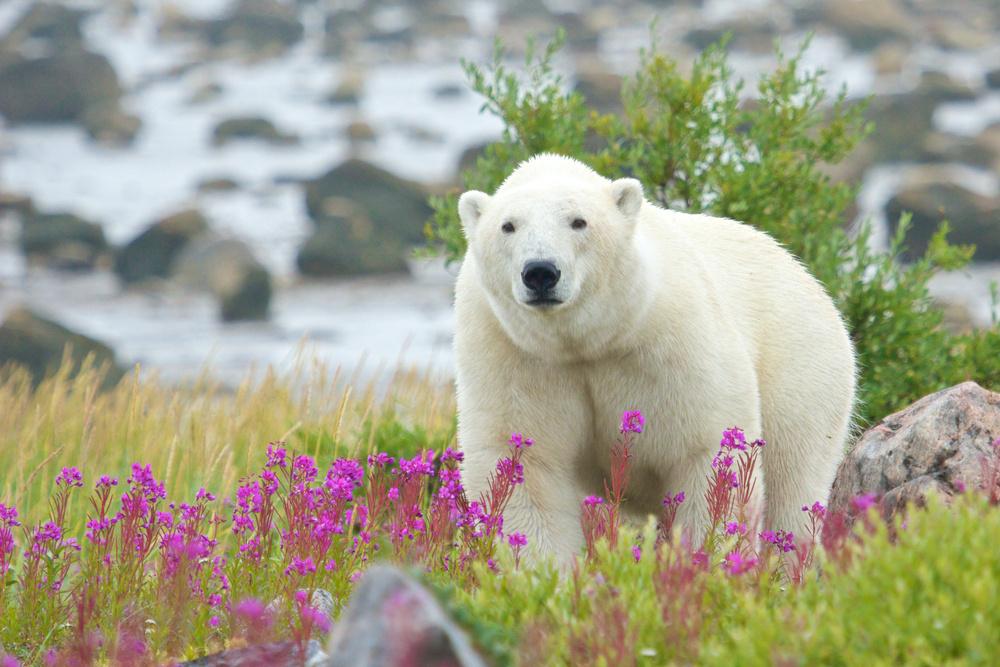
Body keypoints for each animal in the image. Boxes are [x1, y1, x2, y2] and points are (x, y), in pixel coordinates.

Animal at [454, 153, 852, 564]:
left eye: (579, 221)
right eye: (508, 226)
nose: (541, 272)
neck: (585, 341)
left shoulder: (670, 341)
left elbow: (703, 451)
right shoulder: (514, 355)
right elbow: (527, 466)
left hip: (800, 364)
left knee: (794, 479)